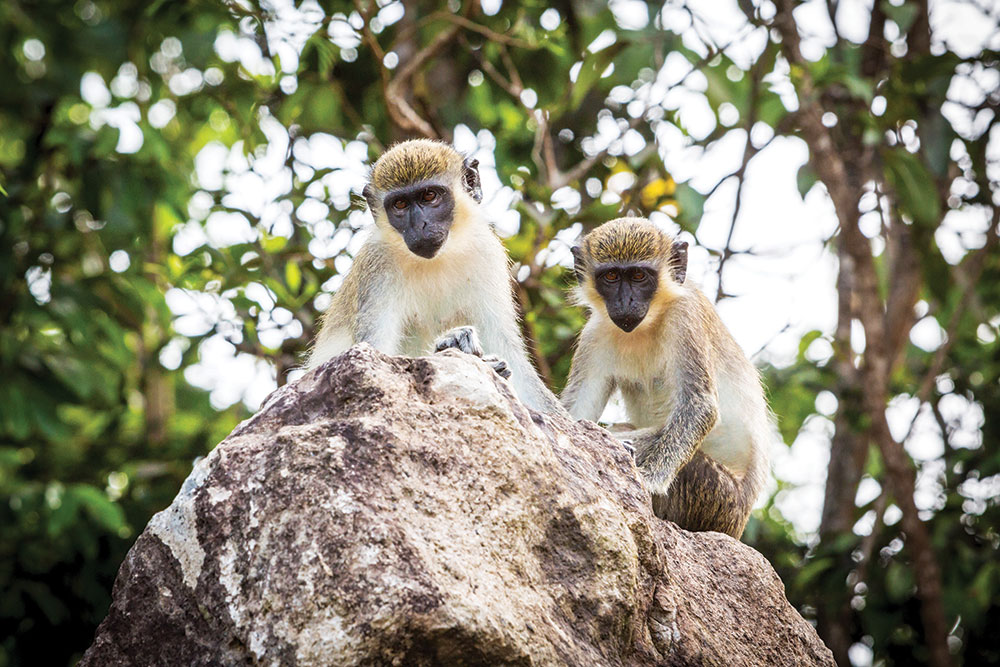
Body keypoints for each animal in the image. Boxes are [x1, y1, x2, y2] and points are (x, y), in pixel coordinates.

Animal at [304, 138, 572, 414]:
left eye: (430, 196)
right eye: (400, 204)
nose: (419, 226)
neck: (438, 258)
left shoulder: (487, 253)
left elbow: (511, 355)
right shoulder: (377, 264)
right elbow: (373, 357)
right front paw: (451, 343)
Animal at [564, 217, 772, 540]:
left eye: (639, 275)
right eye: (611, 276)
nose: (626, 301)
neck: (647, 324)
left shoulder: (686, 316)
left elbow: (700, 406)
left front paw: (648, 481)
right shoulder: (594, 334)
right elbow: (575, 414)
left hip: (717, 499)